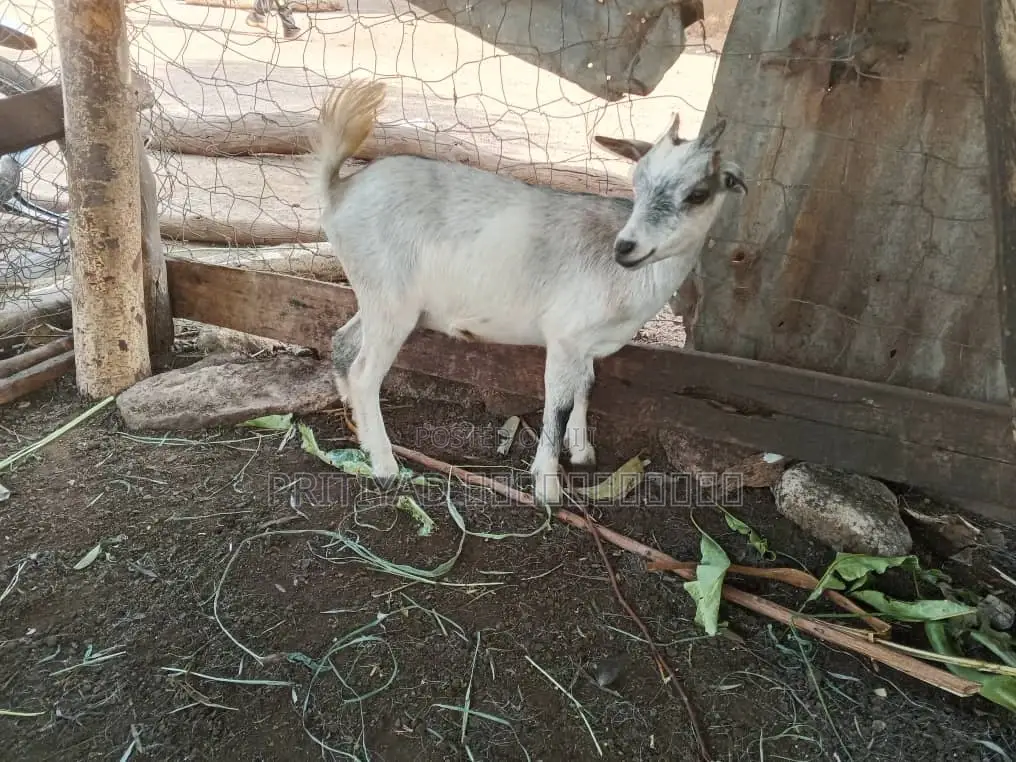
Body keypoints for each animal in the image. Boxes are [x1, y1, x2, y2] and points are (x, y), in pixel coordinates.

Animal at [315, 79, 747, 506]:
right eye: (637, 182)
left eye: (698, 194)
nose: (626, 247)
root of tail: (339, 190)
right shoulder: (564, 337)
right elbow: (558, 403)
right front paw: (547, 486)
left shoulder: (584, 344)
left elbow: (585, 386)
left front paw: (582, 452)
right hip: (392, 302)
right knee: (365, 373)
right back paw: (385, 464)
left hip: (379, 296)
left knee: (343, 342)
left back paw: (355, 420)